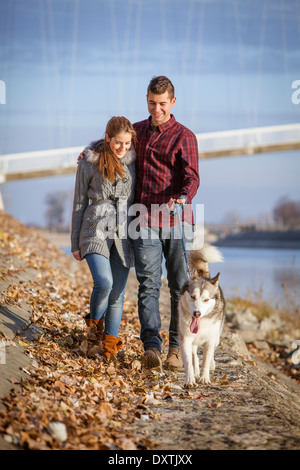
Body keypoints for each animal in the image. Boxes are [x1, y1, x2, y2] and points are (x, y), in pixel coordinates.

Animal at [178, 244, 225, 388]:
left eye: (206, 300)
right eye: (193, 297)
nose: (197, 313)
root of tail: (203, 275)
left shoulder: (210, 339)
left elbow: (206, 359)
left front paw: (205, 378)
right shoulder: (185, 339)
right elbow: (189, 360)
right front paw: (190, 380)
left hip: (217, 337)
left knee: (212, 353)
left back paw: (211, 365)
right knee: (194, 355)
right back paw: (196, 372)